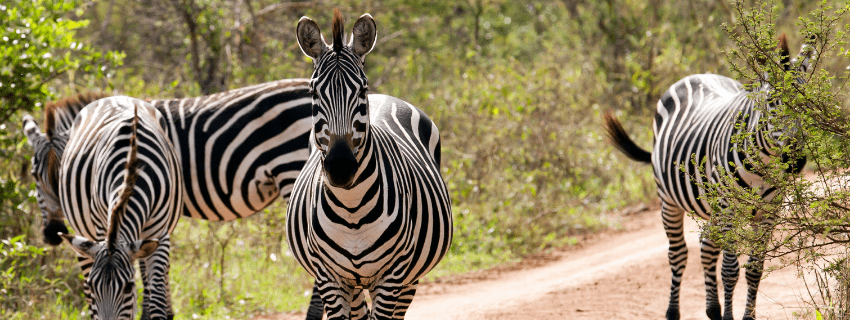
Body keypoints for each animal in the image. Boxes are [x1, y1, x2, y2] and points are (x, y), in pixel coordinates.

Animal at [284, 8, 454, 318]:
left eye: (362, 89)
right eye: (313, 93)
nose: (340, 167)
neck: (352, 209)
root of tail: (384, 97)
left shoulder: (392, 275)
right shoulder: (329, 278)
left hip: (409, 277)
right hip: (353, 283)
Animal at [600, 33, 812, 318]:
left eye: (805, 101)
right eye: (769, 104)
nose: (795, 161)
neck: (763, 164)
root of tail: (695, 76)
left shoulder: (769, 212)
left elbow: (754, 270)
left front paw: (744, 316)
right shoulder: (729, 209)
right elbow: (730, 271)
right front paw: (729, 316)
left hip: (712, 208)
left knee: (706, 246)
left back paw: (712, 309)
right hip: (668, 200)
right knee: (678, 254)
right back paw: (673, 312)